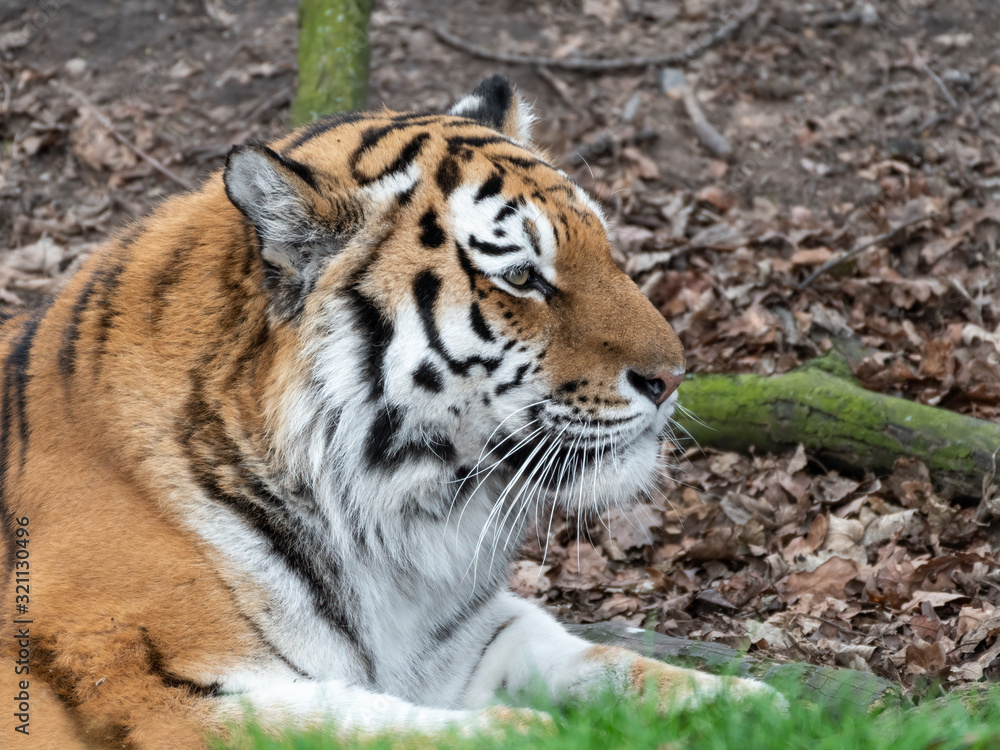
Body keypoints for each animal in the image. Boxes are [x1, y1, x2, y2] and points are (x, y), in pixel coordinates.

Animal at [0, 75, 782, 748]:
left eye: (607, 251)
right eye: (521, 277)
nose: (673, 376)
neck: (391, 529)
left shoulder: (464, 640)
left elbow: (592, 660)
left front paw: (745, 707)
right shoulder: (170, 689)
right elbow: (394, 729)